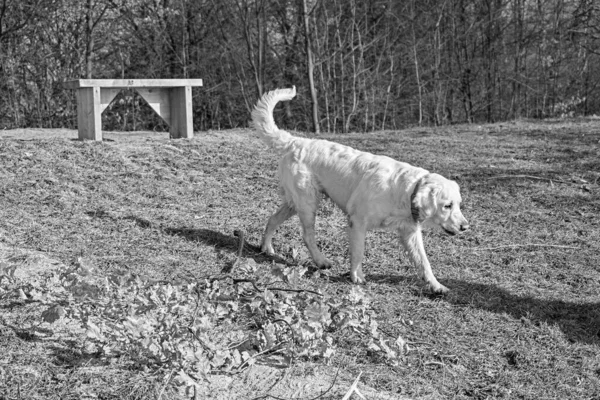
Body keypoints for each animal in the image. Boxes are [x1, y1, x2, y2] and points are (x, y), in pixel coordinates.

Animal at [248, 86, 468, 294]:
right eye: (447, 205)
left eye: (458, 205)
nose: (465, 227)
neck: (405, 192)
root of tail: (295, 141)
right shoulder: (358, 222)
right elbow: (358, 252)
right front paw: (357, 276)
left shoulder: (409, 232)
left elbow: (424, 262)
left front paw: (436, 285)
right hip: (308, 202)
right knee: (307, 235)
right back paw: (321, 260)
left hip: (294, 202)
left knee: (272, 219)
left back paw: (267, 248)